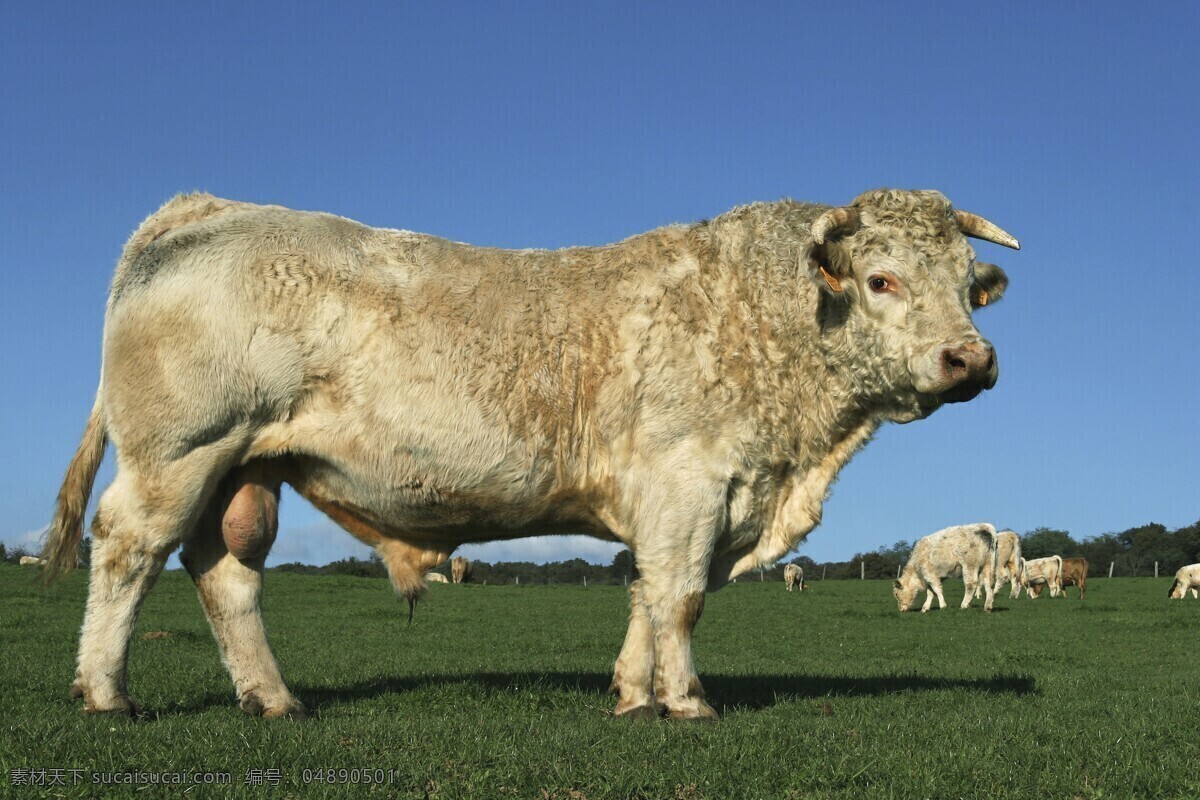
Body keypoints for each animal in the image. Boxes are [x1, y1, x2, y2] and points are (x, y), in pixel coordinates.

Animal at [42, 190, 1017, 724]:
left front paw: (633, 694)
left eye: (970, 288)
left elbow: (646, 594)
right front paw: (688, 700)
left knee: (225, 571)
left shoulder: (681, 501)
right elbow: (681, 597)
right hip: (180, 452)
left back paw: (272, 698)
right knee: (129, 547)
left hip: (239, 468)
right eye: (882, 279)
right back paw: (106, 692)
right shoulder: (690, 482)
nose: (970, 360)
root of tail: (210, 207)